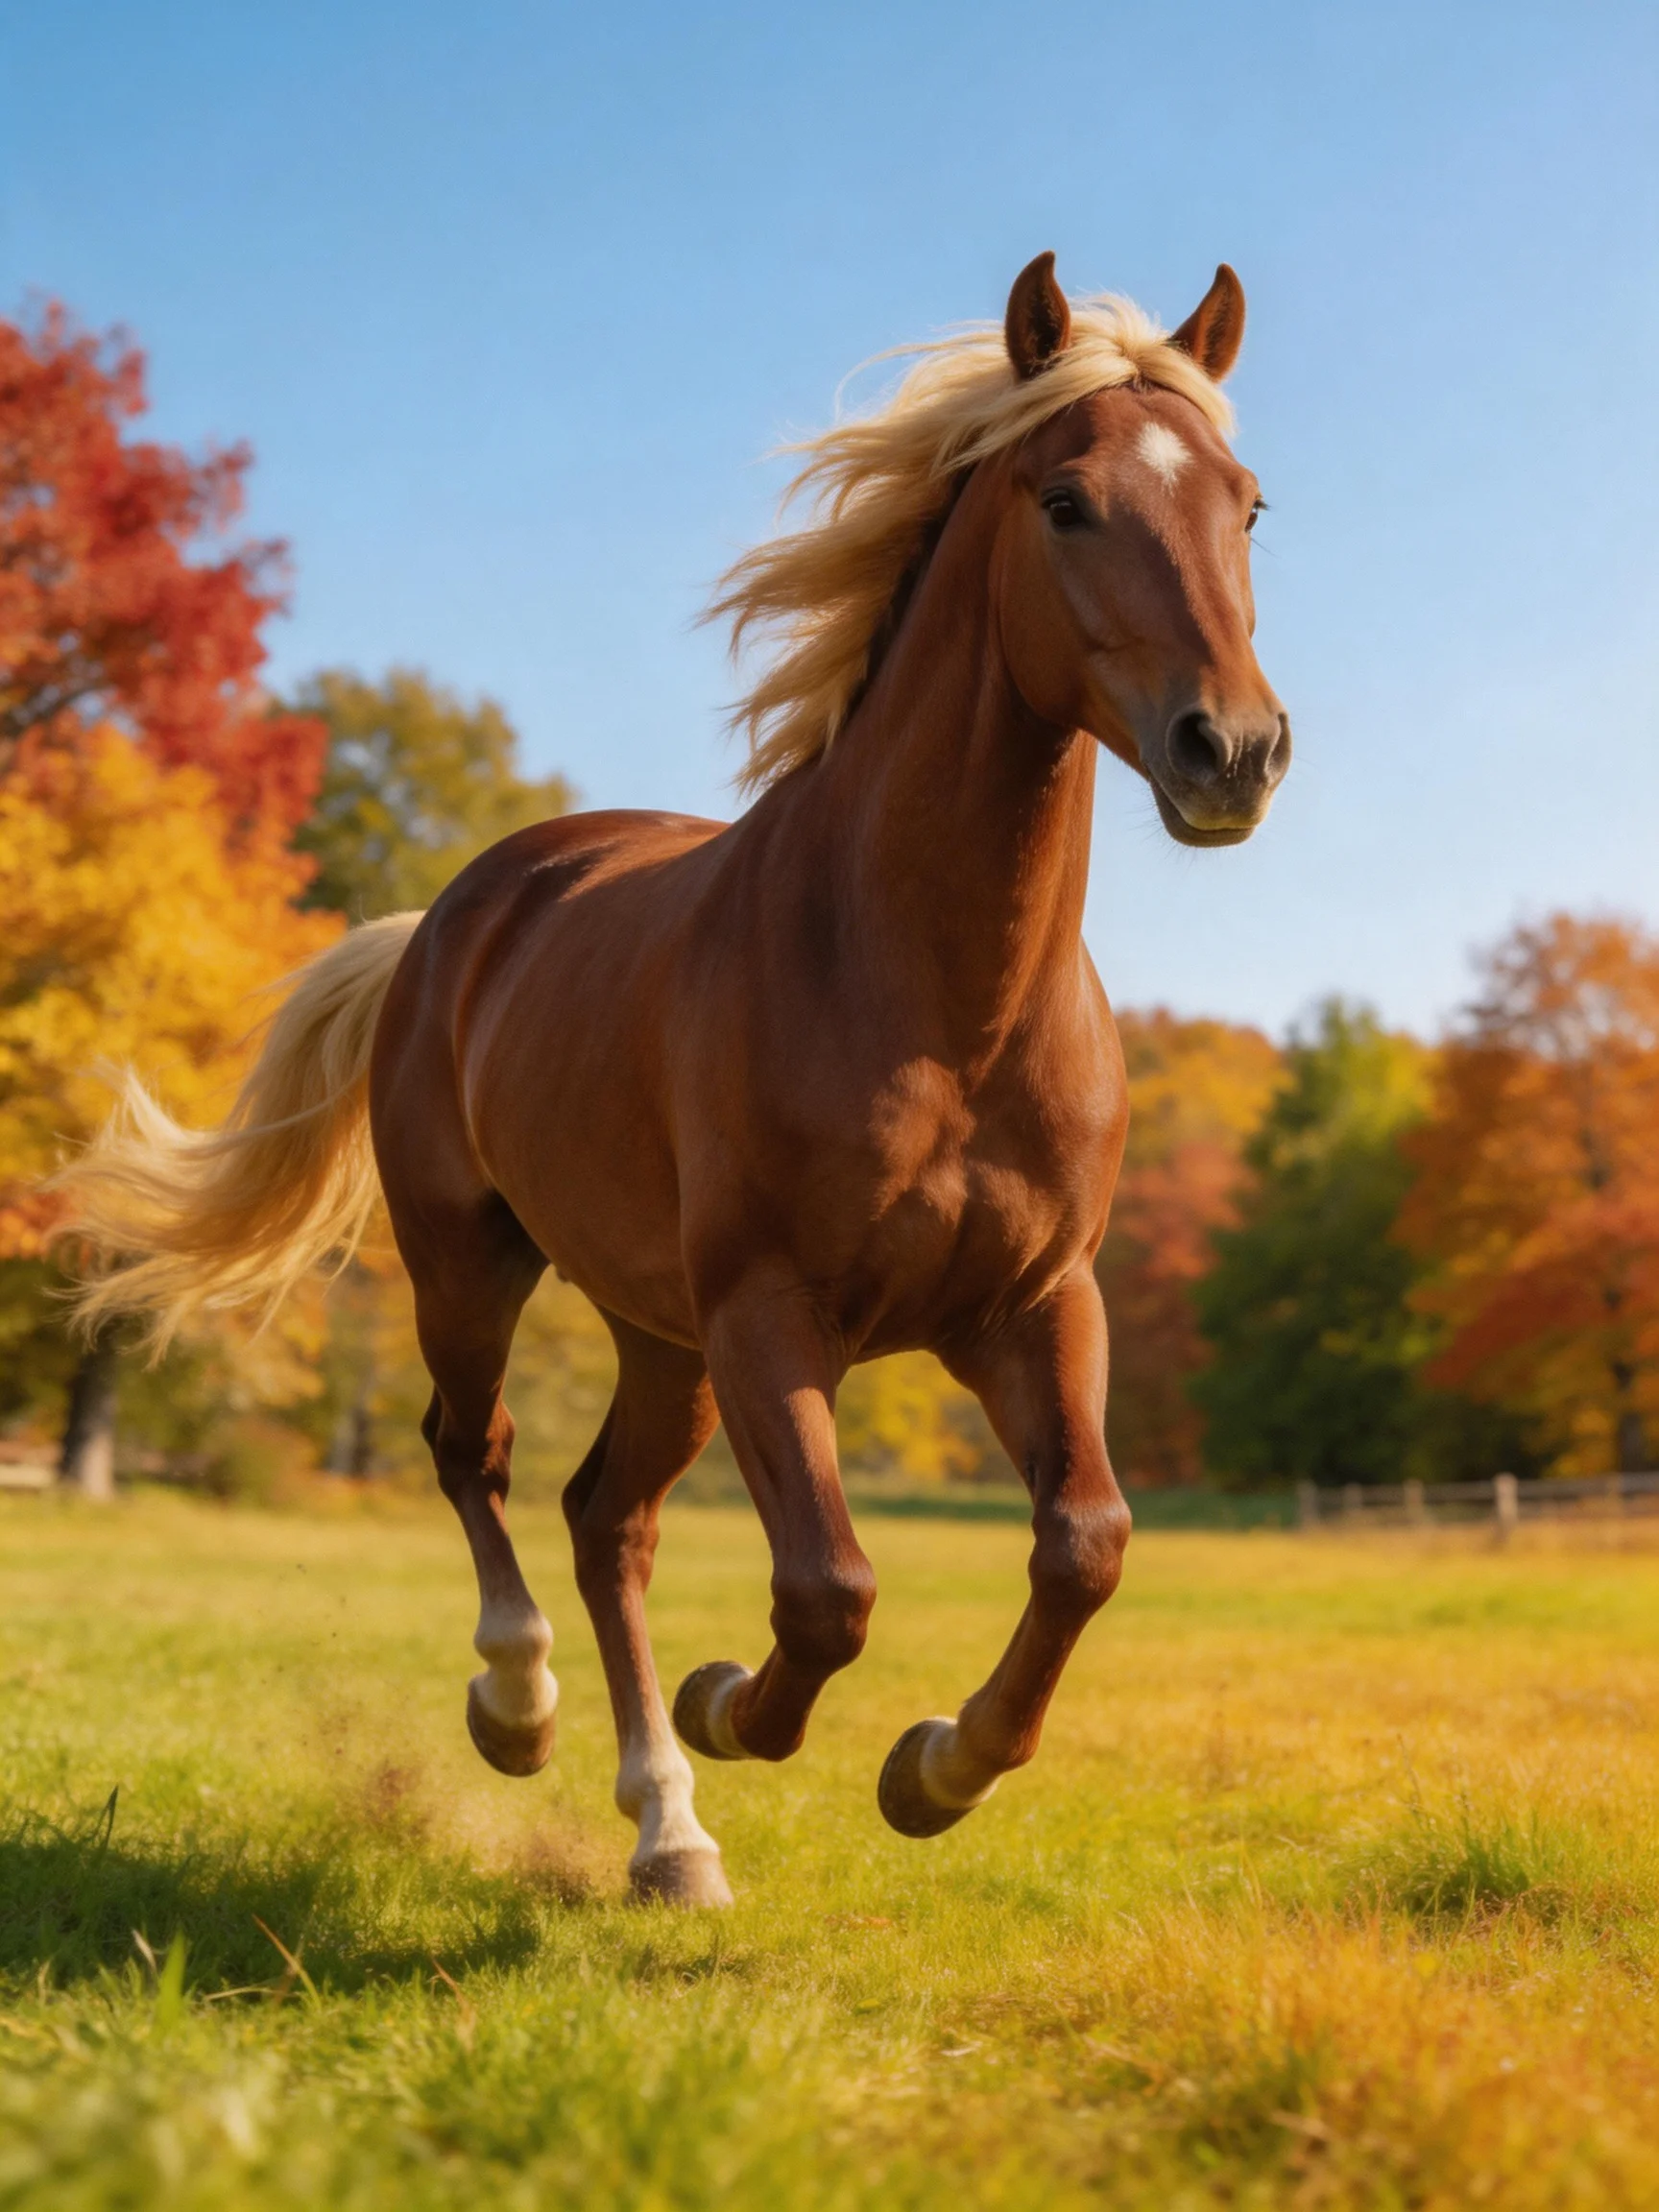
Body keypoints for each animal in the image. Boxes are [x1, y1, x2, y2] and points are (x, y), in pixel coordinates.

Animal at [64, 253, 1289, 1907]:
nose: (1234, 750)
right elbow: (830, 1587)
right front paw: (737, 1708)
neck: (934, 1002)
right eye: (1067, 500)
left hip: (664, 1340)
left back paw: (669, 1831)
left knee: (608, 1521)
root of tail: (451, 916)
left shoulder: (1035, 1306)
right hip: (479, 1269)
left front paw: (939, 1768)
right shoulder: (773, 1312)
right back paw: (526, 1714)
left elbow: (1085, 1542)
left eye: (1247, 504)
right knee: (482, 1460)